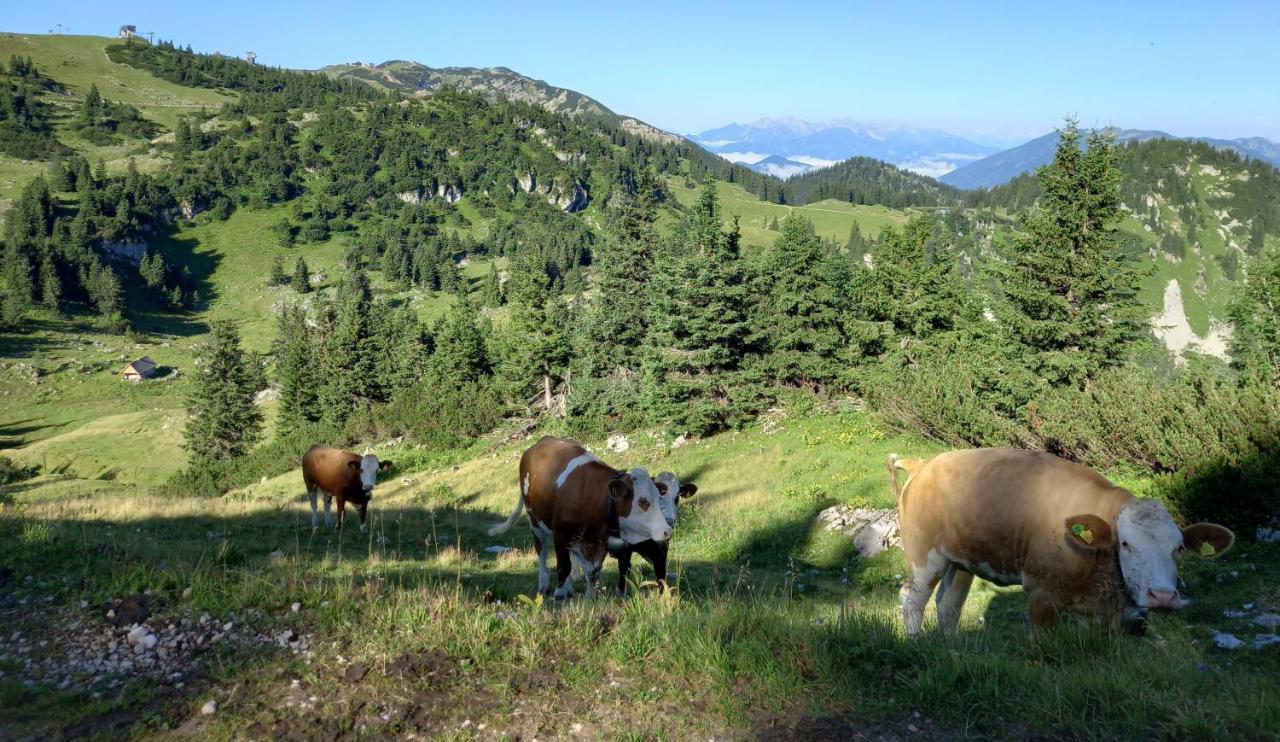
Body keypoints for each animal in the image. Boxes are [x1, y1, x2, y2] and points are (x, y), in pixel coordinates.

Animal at [488, 437, 696, 598]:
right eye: (643, 501)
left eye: (673, 497)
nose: (667, 529)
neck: (597, 499)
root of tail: (539, 442)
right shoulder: (561, 534)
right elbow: (563, 565)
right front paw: (559, 594)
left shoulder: (600, 541)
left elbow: (594, 570)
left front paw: (590, 596)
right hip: (535, 521)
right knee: (542, 552)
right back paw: (545, 585)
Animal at [885, 450, 1233, 634]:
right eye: (1126, 544)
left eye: (1178, 548)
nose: (1162, 596)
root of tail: (924, 464)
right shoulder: (1041, 593)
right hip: (924, 555)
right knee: (912, 598)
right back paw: (916, 643)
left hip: (961, 560)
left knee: (948, 605)